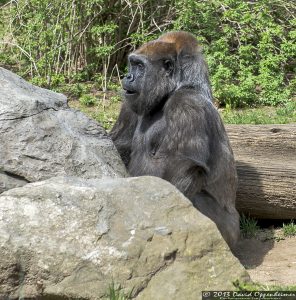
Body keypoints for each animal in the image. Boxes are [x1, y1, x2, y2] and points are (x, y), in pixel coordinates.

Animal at [110, 31, 239, 250]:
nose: (127, 77)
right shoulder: (130, 101)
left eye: (140, 66)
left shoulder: (187, 104)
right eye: (132, 64)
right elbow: (120, 146)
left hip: (230, 235)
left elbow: (182, 167)